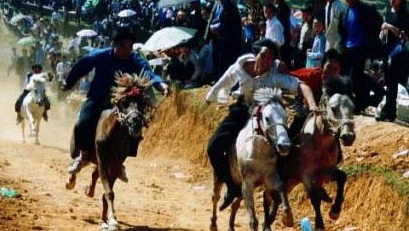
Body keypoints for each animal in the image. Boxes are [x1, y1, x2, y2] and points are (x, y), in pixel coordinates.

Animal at [64, 71, 152, 230]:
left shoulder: (114, 165)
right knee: (80, 163)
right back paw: (71, 179)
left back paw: (89, 191)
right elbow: (109, 192)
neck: (113, 134)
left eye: (141, 103)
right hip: (87, 154)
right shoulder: (103, 161)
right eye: (124, 102)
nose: (135, 123)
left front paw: (106, 220)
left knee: (94, 174)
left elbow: (107, 193)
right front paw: (112, 220)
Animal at [210, 87, 294, 231]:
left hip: (239, 187)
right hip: (220, 177)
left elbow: (282, 187)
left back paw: (231, 226)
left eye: (286, 117)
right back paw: (213, 224)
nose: (284, 146)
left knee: (235, 204)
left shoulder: (270, 178)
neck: (257, 151)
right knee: (216, 197)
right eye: (267, 118)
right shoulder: (248, 183)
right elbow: (253, 220)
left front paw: (288, 218)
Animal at [264, 83, 354, 231]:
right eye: (333, 108)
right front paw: (319, 224)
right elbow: (315, 199)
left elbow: (342, 177)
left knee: (276, 199)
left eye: (353, 107)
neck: (320, 142)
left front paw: (335, 211)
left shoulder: (326, 171)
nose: (349, 137)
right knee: (267, 198)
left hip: (290, 183)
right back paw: (268, 222)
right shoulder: (307, 176)